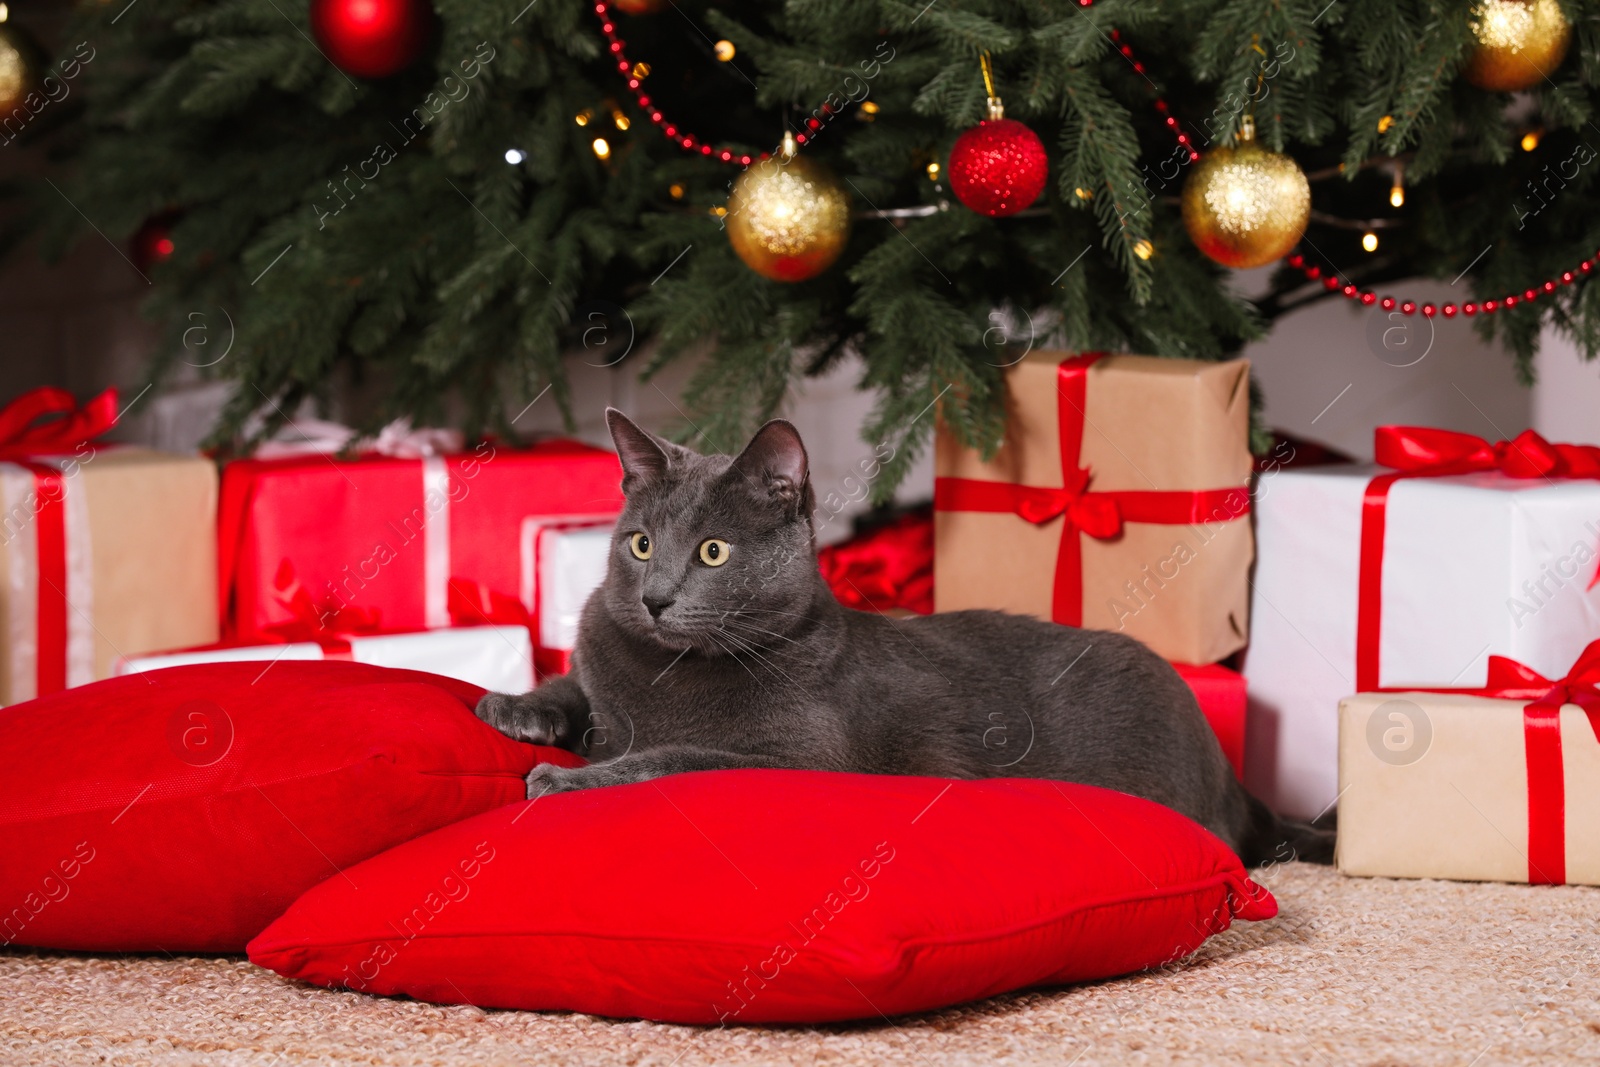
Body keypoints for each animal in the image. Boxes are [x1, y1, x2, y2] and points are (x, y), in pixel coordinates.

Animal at [476, 409, 1337, 870]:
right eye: (641, 543)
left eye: (714, 552)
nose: (654, 599)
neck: (662, 671)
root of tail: (1232, 777)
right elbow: (575, 683)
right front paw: (512, 705)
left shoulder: (800, 755)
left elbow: (669, 757)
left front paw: (566, 777)